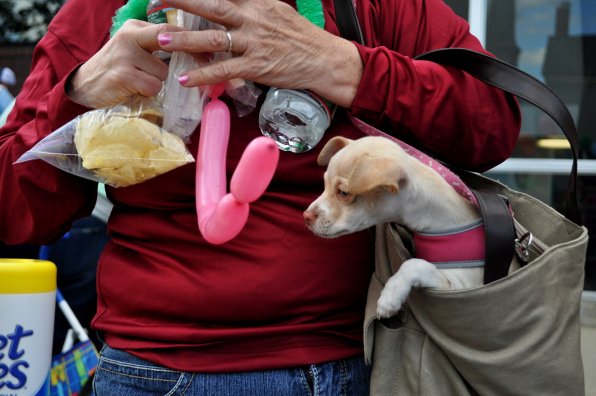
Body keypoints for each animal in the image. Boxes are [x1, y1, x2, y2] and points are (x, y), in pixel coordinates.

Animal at [304, 136, 486, 318]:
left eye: (343, 193)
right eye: (324, 185)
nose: (306, 217)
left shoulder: (461, 287)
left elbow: (414, 264)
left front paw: (389, 297)